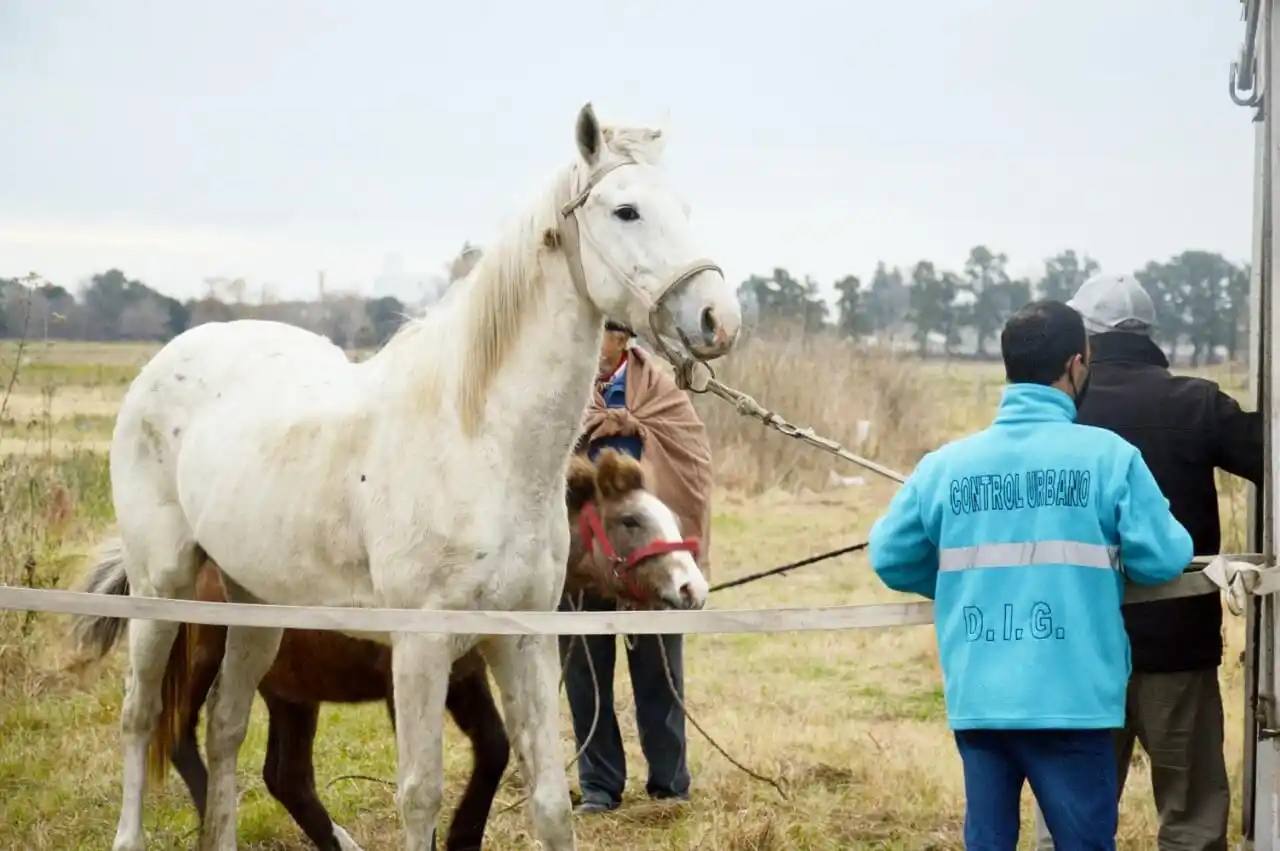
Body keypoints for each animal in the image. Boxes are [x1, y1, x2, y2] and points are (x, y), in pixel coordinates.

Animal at [154, 449, 699, 851]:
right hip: (206, 662)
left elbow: (494, 749)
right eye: (630, 520)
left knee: (287, 779)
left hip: (291, 690)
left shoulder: (465, 675)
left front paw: (463, 838)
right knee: (184, 740)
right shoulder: (409, 680)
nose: (692, 587)